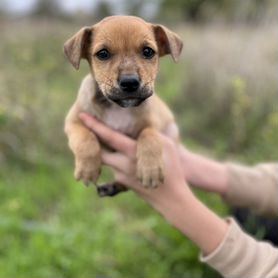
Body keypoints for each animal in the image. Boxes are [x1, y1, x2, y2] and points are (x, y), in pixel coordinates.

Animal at [64, 15, 184, 198]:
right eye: (103, 54)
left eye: (148, 51)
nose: (130, 83)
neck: (118, 108)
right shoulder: (73, 121)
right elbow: (85, 139)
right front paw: (88, 169)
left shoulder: (153, 124)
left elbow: (150, 137)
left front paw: (151, 170)